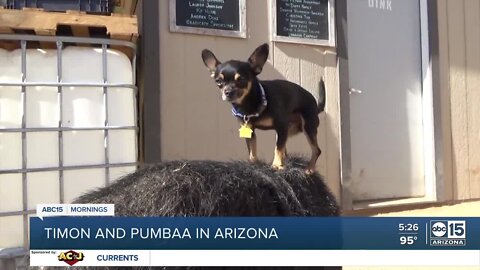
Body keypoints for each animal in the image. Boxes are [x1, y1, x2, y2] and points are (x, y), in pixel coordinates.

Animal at [201, 43, 324, 174]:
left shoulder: (281, 126)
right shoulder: (250, 131)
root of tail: (316, 105)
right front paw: (253, 164)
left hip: (307, 127)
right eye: (218, 81)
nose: (227, 92)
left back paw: (310, 168)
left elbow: (278, 148)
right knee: (286, 150)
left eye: (241, 79)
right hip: (287, 131)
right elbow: (252, 150)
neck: (249, 105)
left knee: (316, 150)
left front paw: (276, 165)